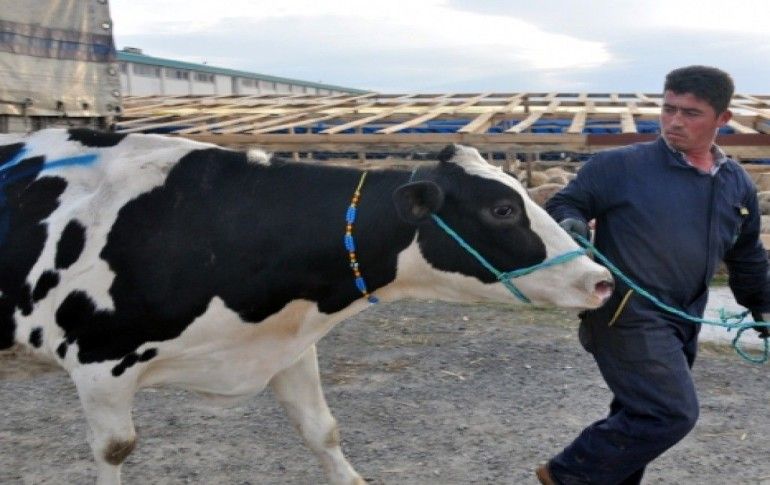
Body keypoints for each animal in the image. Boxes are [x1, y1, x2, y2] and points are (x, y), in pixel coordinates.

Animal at [0, 128, 613, 484]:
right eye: (503, 209)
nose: (601, 279)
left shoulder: (289, 347)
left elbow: (323, 431)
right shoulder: (98, 364)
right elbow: (115, 448)